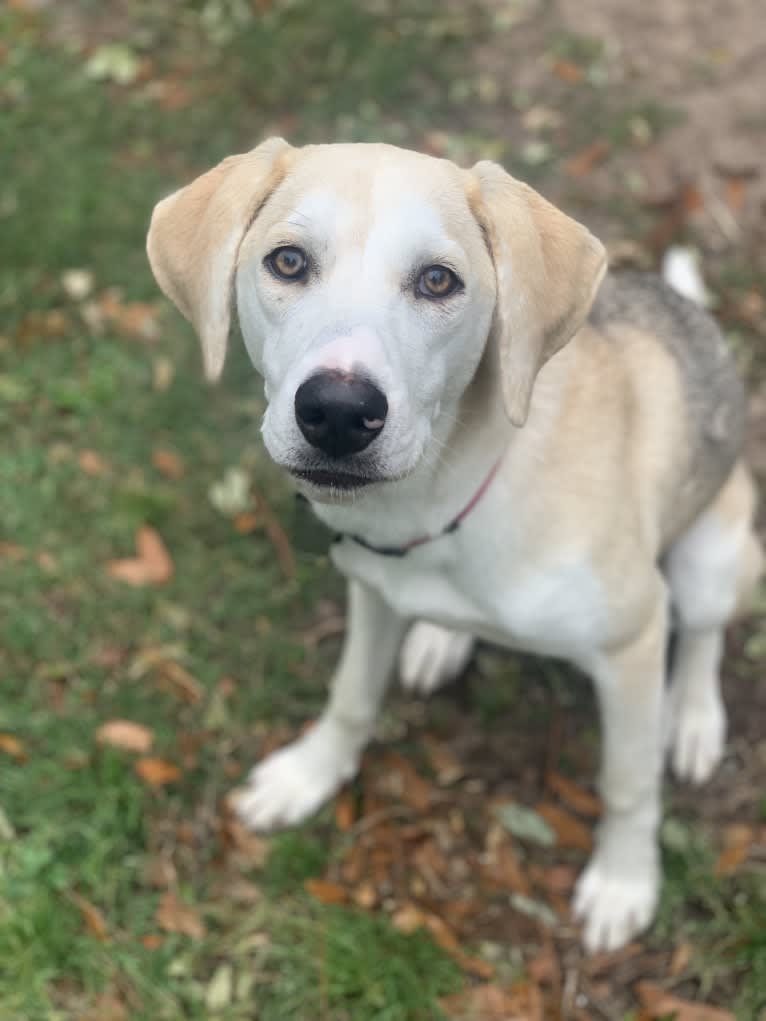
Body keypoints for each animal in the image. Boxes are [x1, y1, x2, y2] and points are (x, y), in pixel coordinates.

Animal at [144, 139, 763, 951]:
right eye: (288, 262)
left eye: (438, 280)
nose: (337, 412)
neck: (439, 506)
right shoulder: (373, 593)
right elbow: (351, 697)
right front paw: (309, 774)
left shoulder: (631, 642)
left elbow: (628, 782)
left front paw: (625, 881)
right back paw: (441, 638)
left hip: (709, 556)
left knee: (702, 637)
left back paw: (691, 719)